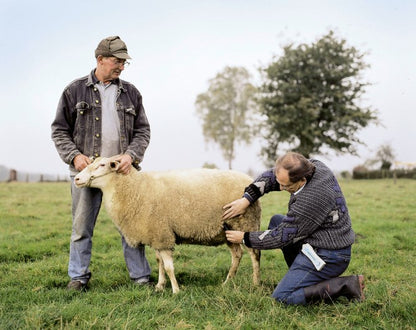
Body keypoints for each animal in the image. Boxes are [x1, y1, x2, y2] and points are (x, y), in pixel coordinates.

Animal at [75, 156, 260, 292]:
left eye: (102, 165)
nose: (77, 178)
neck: (136, 189)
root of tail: (248, 178)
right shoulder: (157, 235)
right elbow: (160, 263)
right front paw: (160, 286)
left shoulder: (163, 236)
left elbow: (169, 267)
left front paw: (176, 290)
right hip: (229, 230)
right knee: (237, 255)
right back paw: (227, 282)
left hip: (245, 223)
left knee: (254, 254)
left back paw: (255, 283)